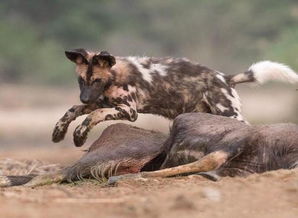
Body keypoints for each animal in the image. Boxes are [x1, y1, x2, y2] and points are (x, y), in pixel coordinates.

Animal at [51, 49, 298, 146]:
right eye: (81, 80)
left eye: (97, 81)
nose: (84, 98)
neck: (113, 77)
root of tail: (224, 78)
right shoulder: (100, 102)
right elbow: (71, 111)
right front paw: (59, 133)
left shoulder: (128, 111)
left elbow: (93, 116)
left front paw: (79, 135)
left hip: (229, 113)